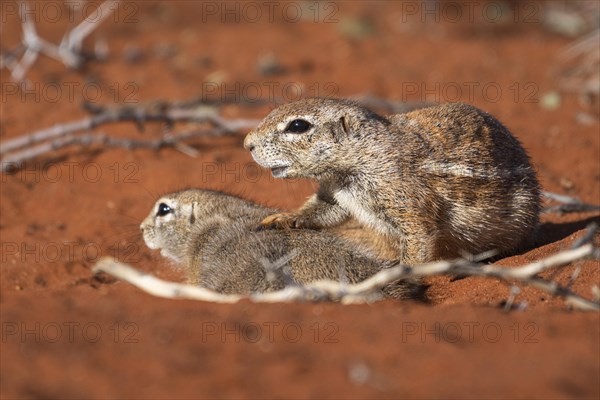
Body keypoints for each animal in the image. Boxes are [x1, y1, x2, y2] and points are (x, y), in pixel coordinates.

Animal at [243, 98, 540, 264]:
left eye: (298, 126)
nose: (247, 143)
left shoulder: (403, 194)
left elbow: (420, 236)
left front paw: (401, 271)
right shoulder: (334, 192)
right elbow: (322, 210)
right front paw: (281, 218)